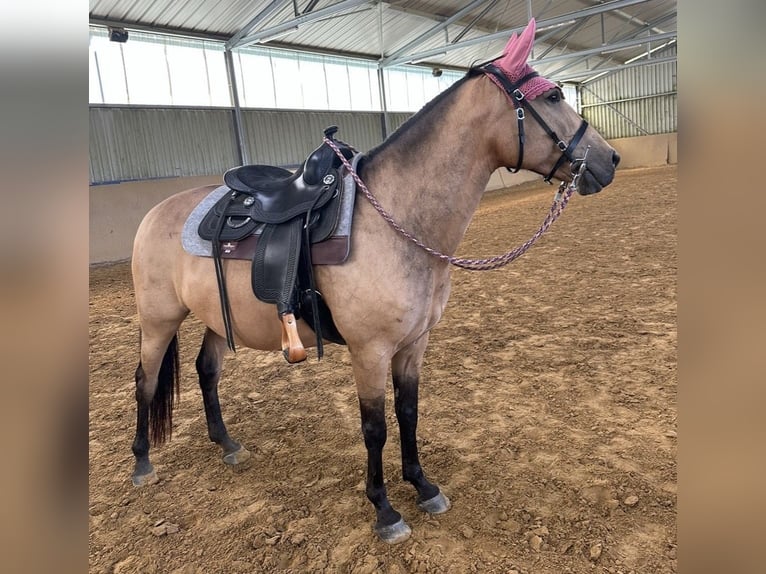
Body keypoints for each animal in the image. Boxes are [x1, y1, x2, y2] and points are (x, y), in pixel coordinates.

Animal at [129, 19, 620, 544]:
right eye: (553, 96)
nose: (610, 159)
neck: (398, 222)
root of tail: (157, 212)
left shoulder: (413, 344)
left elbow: (408, 412)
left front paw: (423, 485)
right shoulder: (370, 351)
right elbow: (375, 428)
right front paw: (384, 510)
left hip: (217, 319)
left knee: (206, 370)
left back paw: (226, 443)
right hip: (158, 320)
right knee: (145, 380)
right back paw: (141, 463)